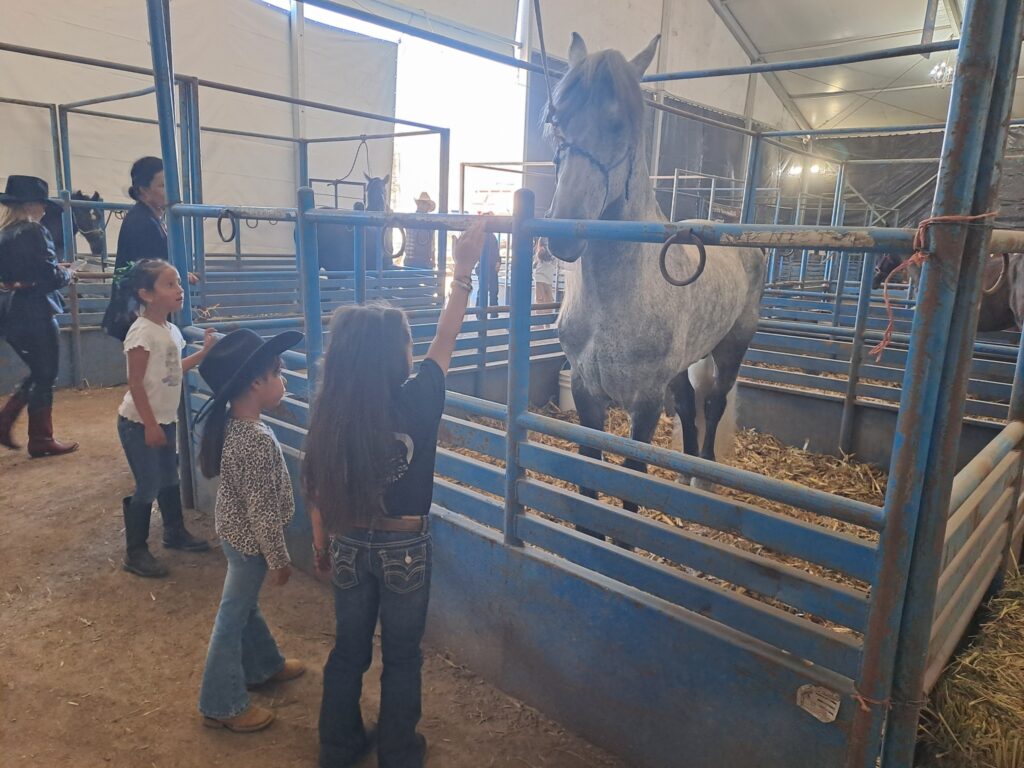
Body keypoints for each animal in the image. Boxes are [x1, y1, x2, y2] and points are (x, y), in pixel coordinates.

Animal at [548, 34, 765, 518]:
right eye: (557, 120)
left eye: (619, 125)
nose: (563, 233)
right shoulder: (589, 396)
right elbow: (590, 476)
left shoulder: (644, 403)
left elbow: (632, 481)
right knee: (686, 403)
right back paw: (684, 469)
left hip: (731, 347)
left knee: (715, 402)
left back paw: (703, 473)